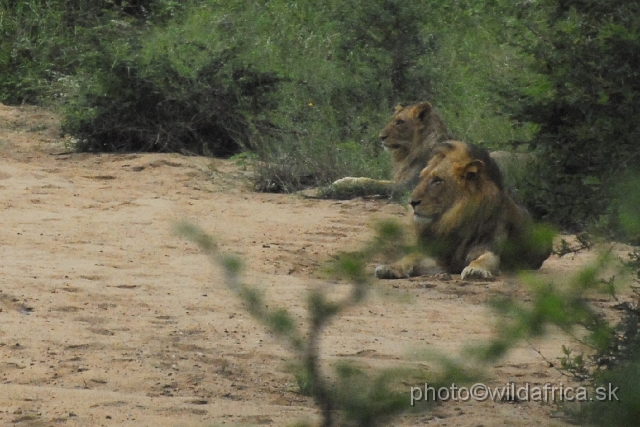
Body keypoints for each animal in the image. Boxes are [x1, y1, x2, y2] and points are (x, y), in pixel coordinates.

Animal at [376, 141, 556, 280]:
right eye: (423, 177)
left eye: (437, 180)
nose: (412, 202)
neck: (456, 219)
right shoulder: (441, 258)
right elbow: (411, 257)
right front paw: (389, 268)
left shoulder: (489, 248)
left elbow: (485, 260)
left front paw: (475, 270)